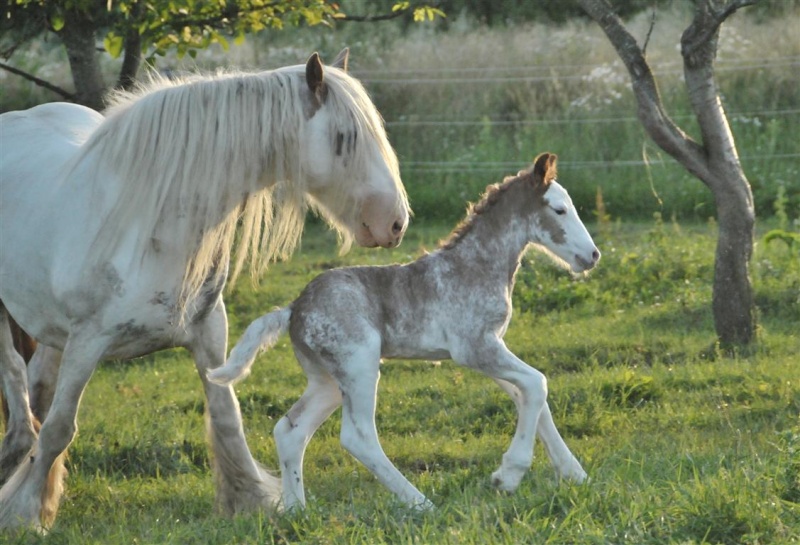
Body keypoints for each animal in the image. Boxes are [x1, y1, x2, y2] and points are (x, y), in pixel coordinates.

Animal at [0, 49, 410, 528]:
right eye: (345, 137)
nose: (396, 222)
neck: (152, 226)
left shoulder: (209, 331)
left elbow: (227, 418)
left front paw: (250, 499)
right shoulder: (87, 340)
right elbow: (60, 429)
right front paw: (23, 514)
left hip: (53, 334)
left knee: (38, 390)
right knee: (20, 396)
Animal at [209, 152, 596, 510]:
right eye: (560, 210)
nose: (592, 256)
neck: (476, 266)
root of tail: (293, 308)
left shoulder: (490, 349)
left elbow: (528, 396)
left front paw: (573, 473)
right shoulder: (474, 348)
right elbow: (537, 383)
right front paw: (509, 476)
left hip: (327, 381)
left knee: (291, 429)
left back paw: (296, 510)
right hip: (359, 365)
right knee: (358, 436)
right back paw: (419, 502)